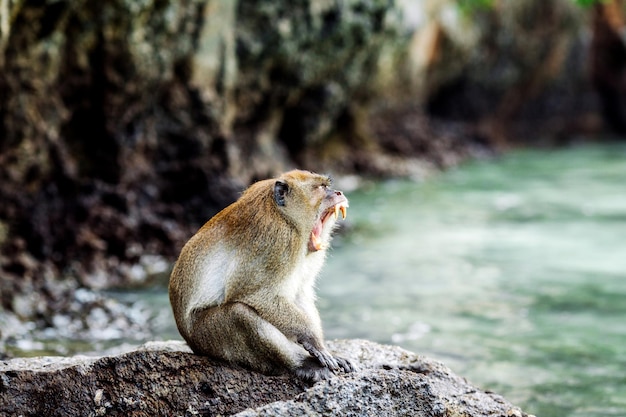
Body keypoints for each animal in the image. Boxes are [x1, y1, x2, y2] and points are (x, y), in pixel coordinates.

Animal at [168, 169, 354, 380]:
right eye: (322, 188)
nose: (338, 192)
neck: (286, 218)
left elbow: (300, 293)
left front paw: (325, 348)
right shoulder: (279, 239)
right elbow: (255, 295)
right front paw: (313, 340)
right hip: (207, 337)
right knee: (239, 314)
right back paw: (301, 364)